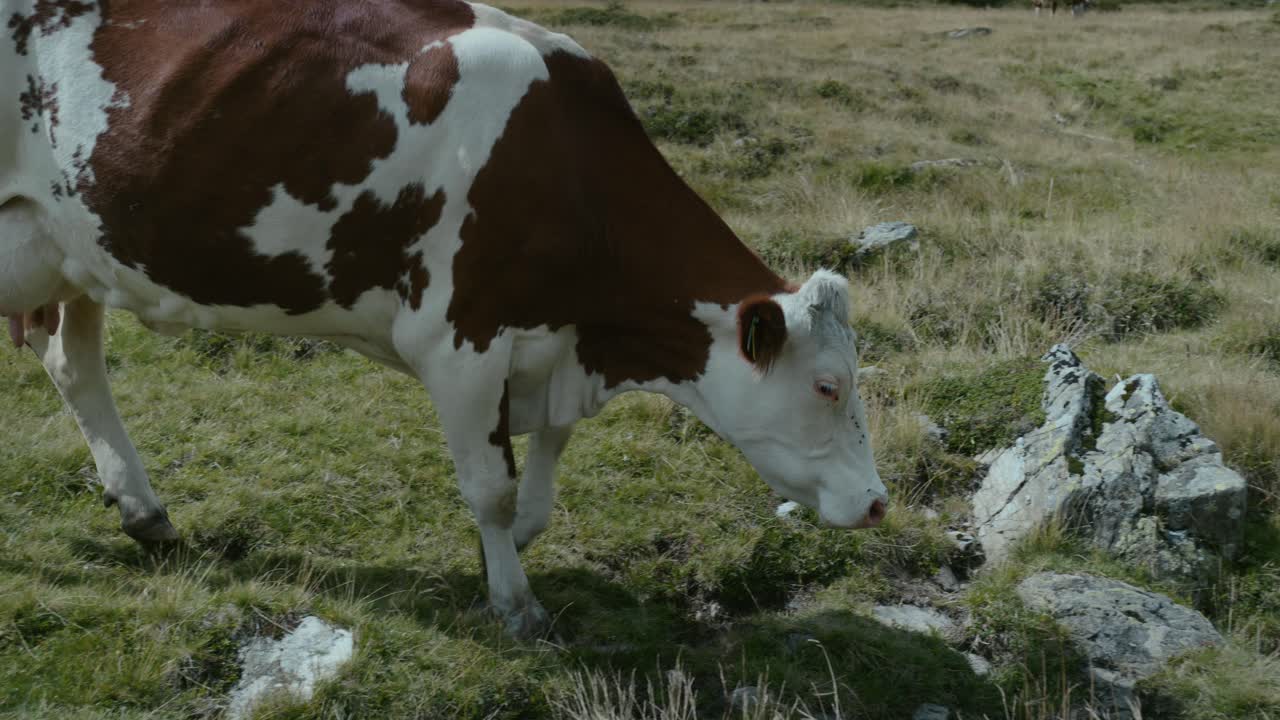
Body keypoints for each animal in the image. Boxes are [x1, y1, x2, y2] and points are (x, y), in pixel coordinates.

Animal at [1, 0, 888, 637]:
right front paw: (515, 603)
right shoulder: (460, 341)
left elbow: (541, 479)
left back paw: (144, 511)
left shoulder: (554, 346)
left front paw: (512, 553)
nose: (880, 503)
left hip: (70, 247)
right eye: (828, 386)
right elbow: (491, 488)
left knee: (74, 363)